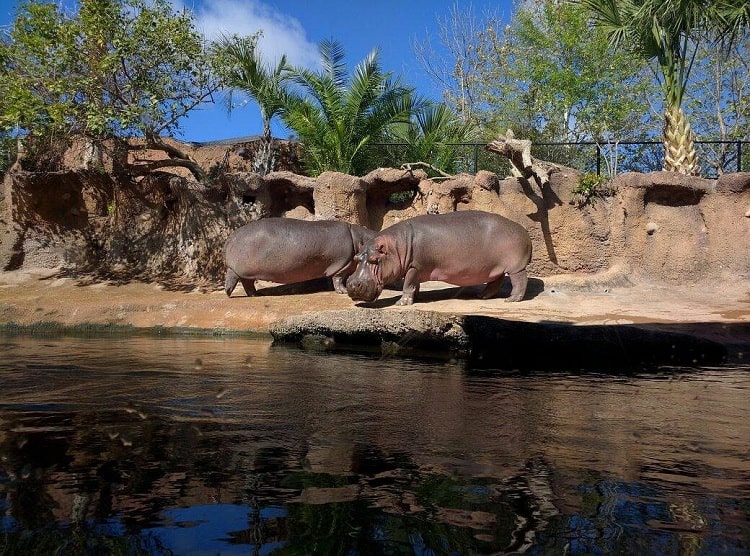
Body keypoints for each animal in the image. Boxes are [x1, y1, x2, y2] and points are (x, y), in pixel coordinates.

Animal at [223, 218, 376, 298]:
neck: (360, 238)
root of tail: (231, 237)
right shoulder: (343, 263)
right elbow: (338, 278)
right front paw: (343, 292)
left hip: (246, 272)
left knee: (247, 283)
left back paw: (256, 295)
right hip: (239, 269)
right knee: (233, 277)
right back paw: (229, 292)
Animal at [348, 210, 536, 306]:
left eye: (374, 259)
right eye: (356, 258)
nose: (352, 284)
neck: (397, 246)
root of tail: (524, 231)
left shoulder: (414, 266)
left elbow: (408, 284)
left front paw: (402, 303)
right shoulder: (416, 269)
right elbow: (414, 285)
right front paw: (416, 298)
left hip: (515, 266)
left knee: (520, 281)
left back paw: (511, 299)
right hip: (494, 267)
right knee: (495, 282)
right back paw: (482, 296)